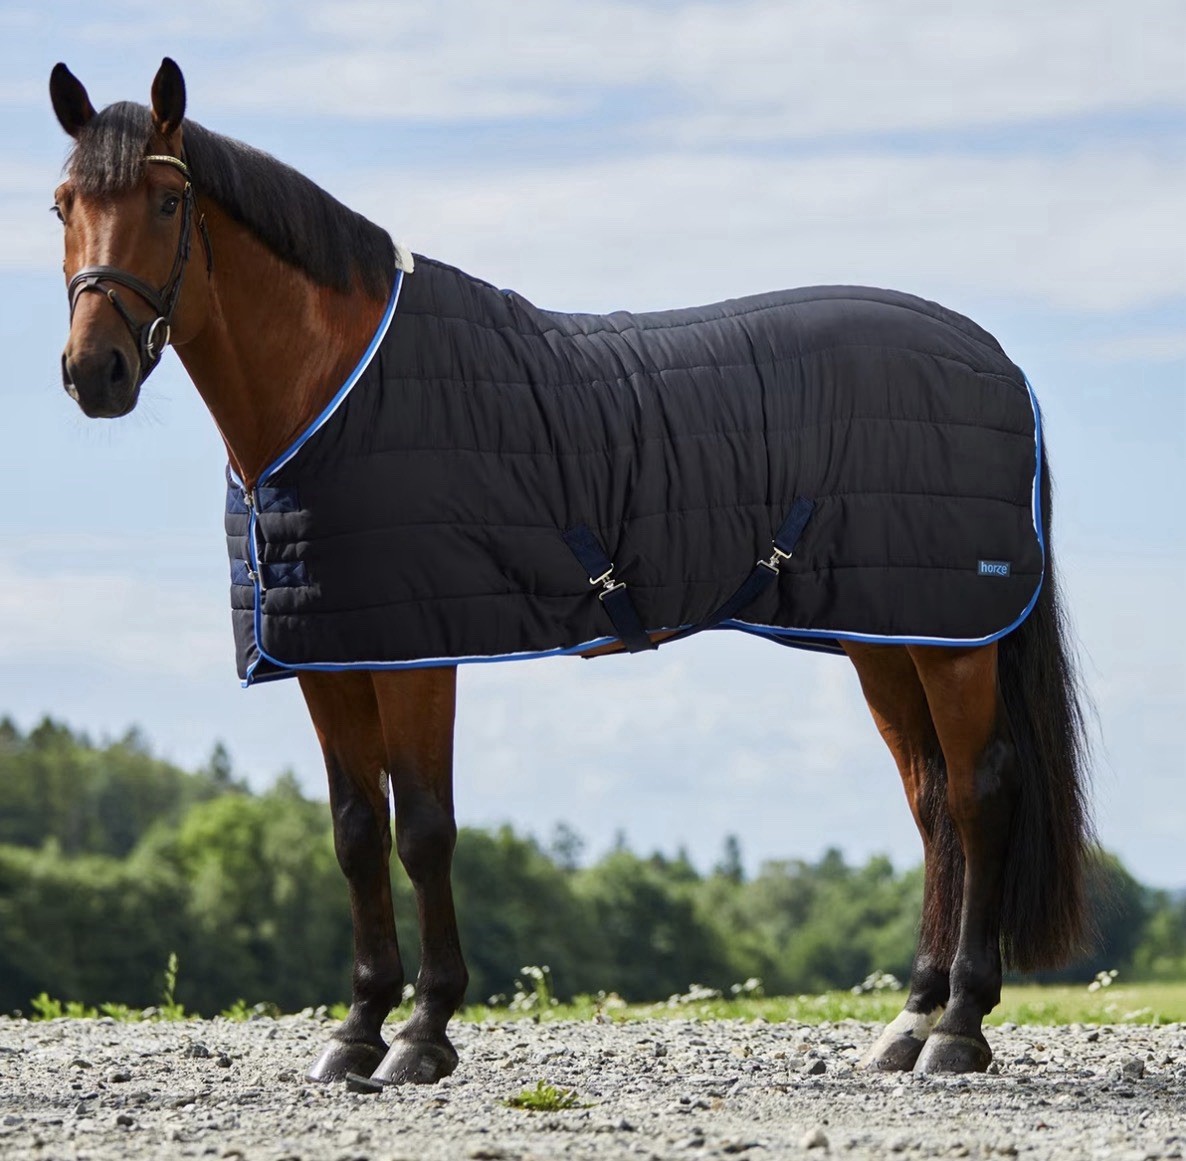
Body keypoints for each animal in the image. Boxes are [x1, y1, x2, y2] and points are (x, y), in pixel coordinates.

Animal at [48, 58, 1092, 1084]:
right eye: (63, 203)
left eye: (169, 200)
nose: (94, 371)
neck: (334, 384)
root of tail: (998, 362)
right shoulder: (329, 653)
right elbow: (355, 834)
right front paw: (356, 1031)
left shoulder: (418, 655)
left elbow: (423, 830)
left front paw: (423, 1033)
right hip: (888, 633)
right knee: (932, 803)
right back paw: (909, 1022)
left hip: (949, 638)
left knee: (979, 794)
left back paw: (959, 1026)